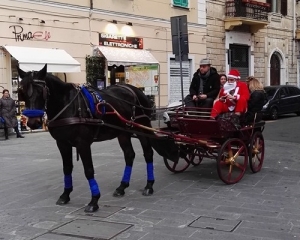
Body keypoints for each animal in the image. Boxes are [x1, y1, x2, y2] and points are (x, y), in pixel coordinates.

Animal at [17, 63, 177, 212]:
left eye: (41, 91)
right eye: (22, 91)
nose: (32, 122)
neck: (67, 105)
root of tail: (136, 90)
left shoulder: (83, 143)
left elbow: (88, 170)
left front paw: (94, 200)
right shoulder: (62, 143)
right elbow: (67, 168)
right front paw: (65, 195)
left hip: (141, 127)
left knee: (148, 153)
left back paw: (149, 185)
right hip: (123, 133)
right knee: (129, 155)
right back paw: (122, 186)